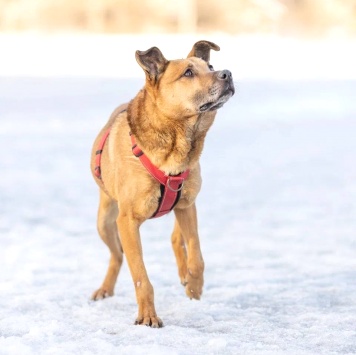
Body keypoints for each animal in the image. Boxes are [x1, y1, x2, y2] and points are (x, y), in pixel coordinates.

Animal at [89, 41, 234, 328]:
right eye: (188, 73)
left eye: (210, 66)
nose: (228, 73)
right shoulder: (127, 222)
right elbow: (140, 277)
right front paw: (148, 316)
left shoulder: (187, 204)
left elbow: (197, 257)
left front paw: (194, 288)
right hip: (105, 221)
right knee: (117, 255)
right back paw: (105, 289)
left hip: (184, 206)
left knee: (176, 238)